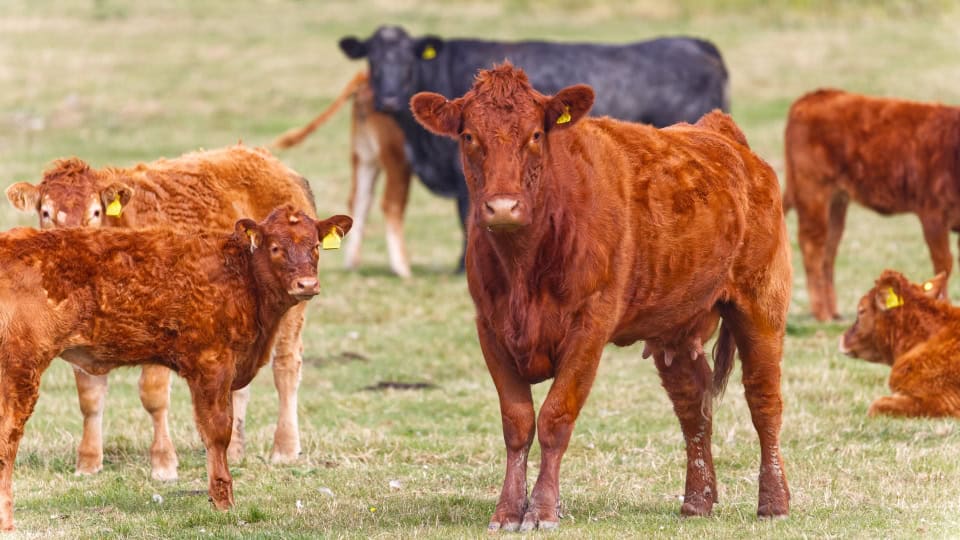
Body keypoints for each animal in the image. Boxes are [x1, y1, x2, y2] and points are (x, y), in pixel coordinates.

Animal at [0, 207, 353, 531]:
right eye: (276, 247)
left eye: (316, 246)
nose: (307, 284)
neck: (243, 276)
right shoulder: (212, 362)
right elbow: (218, 430)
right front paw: (223, 501)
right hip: (21, 368)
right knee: (9, 437)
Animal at [5, 145, 317, 480]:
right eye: (46, 212)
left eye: (96, 212)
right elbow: (89, 398)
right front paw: (88, 463)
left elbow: (153, 395)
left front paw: (163, 463)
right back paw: (234, 449)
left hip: (292, 306)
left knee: (286, 366)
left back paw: (285, 448)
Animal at [274, 71, 413, 277]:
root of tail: (364, 75)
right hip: (397, 156)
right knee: (391, 203)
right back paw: (401, 268)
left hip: (364, 155)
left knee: (360, 200)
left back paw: (353, 262)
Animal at [410, 64, 790, 530]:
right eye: (468, 135)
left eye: (535, 134)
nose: (502, 207)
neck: (523, 267)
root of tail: (720, 133)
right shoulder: (491, 328)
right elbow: (517, 423)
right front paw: (507, 510)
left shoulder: (589, 328)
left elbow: (555, 417)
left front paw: (542, 510)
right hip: (677, 327)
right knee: (693, 406)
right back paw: (697, 500)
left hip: (761, 303)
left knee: (763, 399)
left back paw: (774, 501)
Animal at [783, 89, 960, 321]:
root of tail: (816, 95)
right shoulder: (933, 214)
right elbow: (944, 265)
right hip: (813, 191)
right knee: (813, 247)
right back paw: (821, 313)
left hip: (837, 200)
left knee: (829, 249)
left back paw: (833, 312)